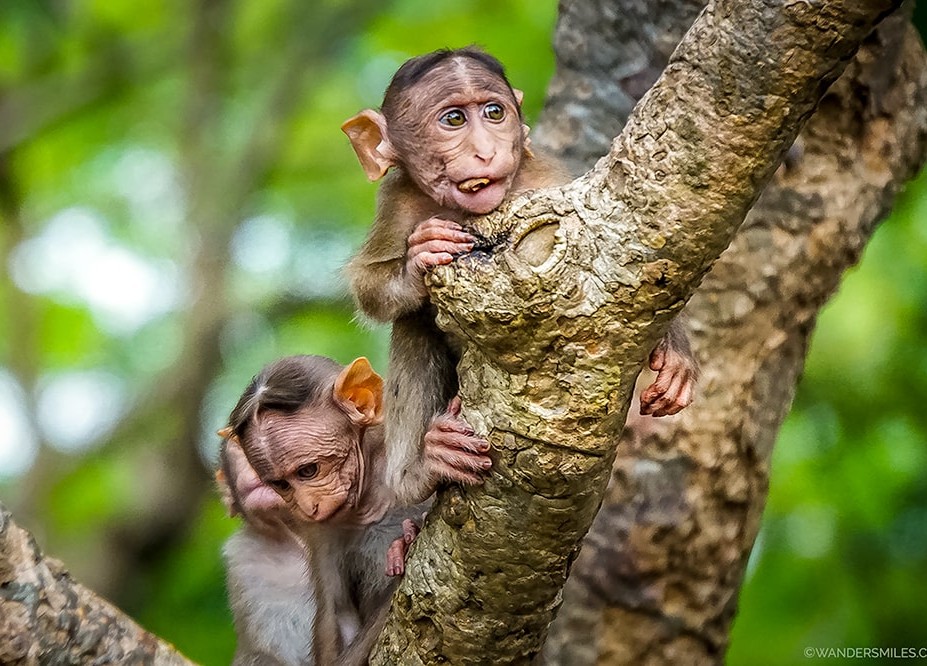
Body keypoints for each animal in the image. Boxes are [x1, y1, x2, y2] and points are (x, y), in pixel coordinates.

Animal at [221, 354, 489, 664]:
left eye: (308, 471)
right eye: (280, 484)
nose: (309, 507)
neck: (371, 497)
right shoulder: (320, 532)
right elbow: (337, 618)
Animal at [342, 47, 699, 503]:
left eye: (494, 112)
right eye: (453, 119)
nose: (485, 150)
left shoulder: (542, 181)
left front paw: (674, 350)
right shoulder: (397, 200)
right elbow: (370, 288)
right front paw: (420, 256)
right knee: (412, 323)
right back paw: (422, 470)